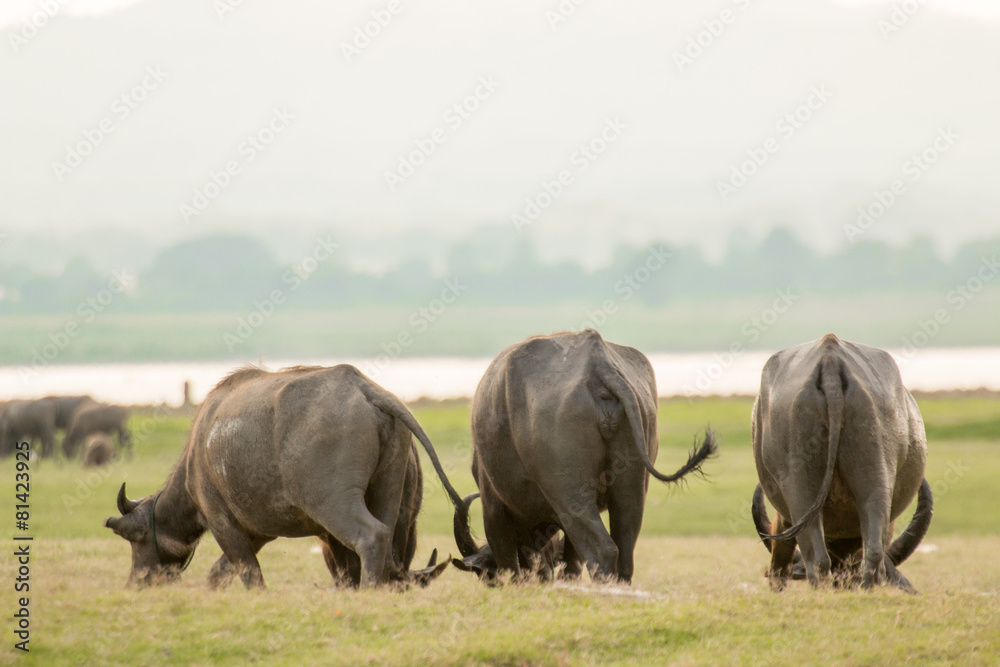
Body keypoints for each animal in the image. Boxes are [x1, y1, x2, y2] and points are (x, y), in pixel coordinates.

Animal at [105, 364, 467, 589]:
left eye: (135, 540)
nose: (136, 582)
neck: (199, 454)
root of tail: (364, 388)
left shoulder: (223, 523)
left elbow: (250, 576)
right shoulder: (259, 532)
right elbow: (218, 574)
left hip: (334, 504)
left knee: (372, 537)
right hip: (389, 491)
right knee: (390, 546)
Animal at [452, 330, 716, 583]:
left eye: (485, 576)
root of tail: (599, 363)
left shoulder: (493, 506)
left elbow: (511, 565)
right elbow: (566, 560)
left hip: (570, 492)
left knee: (603, 549)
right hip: (632, 481)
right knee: (624, 548)